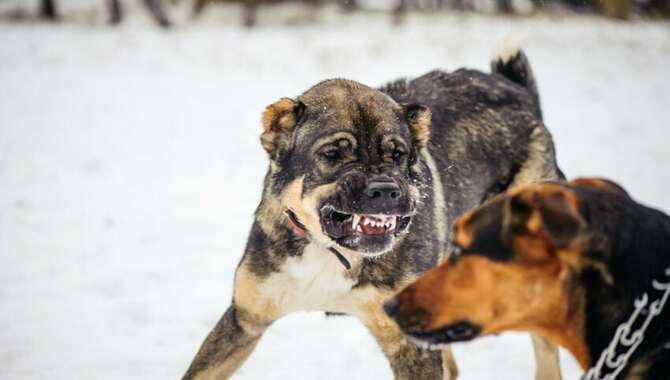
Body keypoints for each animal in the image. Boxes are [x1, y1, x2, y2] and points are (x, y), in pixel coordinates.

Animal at [181, 48, 564, 380]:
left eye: (397, 154)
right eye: (333, 154)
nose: (385, 190)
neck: (330, 251)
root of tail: (518, 91)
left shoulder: (410, 345)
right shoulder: (246, 319)